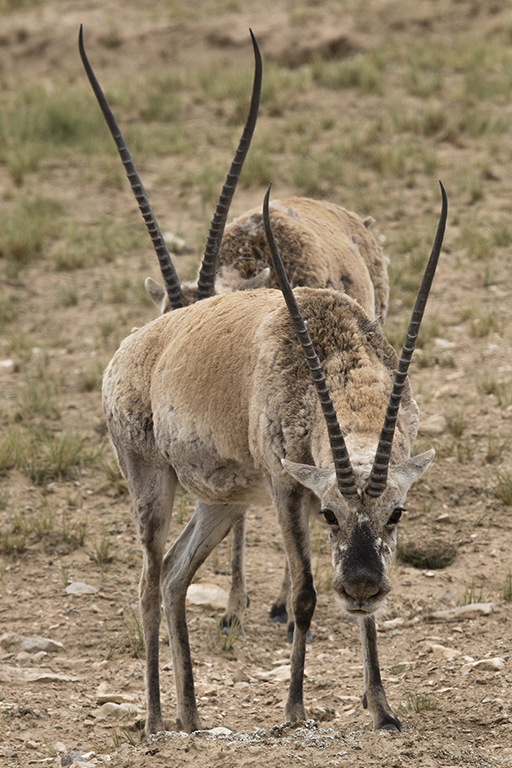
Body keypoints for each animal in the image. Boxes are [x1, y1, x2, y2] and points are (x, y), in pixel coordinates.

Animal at [102, 172, 446, 732]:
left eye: (397, 513)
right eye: (329, 513)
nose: (360, 586)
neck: (332, 353)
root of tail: (132, 347)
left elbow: (369, 615)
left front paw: (382, 710)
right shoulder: (288, 491)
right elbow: (305, 594)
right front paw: (295, 708)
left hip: (221, 503)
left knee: (175, 576)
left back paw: (191, 717)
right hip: (150, 483)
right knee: (150, 585)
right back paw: (155, 721)